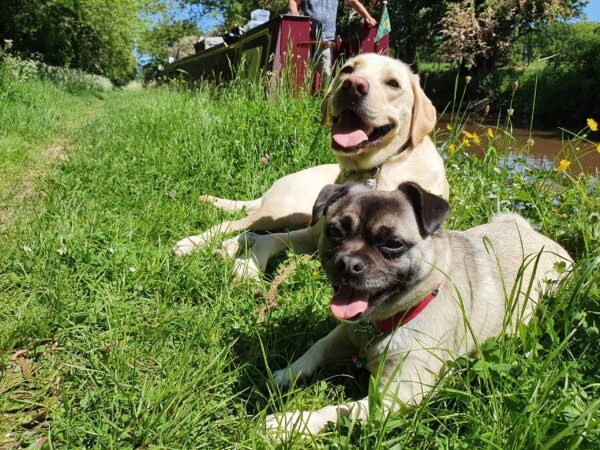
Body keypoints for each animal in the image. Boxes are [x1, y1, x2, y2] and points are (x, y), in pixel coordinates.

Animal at [266, 182, 572, 436]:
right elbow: (315, 349)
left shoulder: (391, 399)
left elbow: (337, 411)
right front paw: (286, 374)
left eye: (393, 244)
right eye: (334, 233)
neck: (388, 320)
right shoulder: (344, 334)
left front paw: (288, 423)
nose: (349, 262)